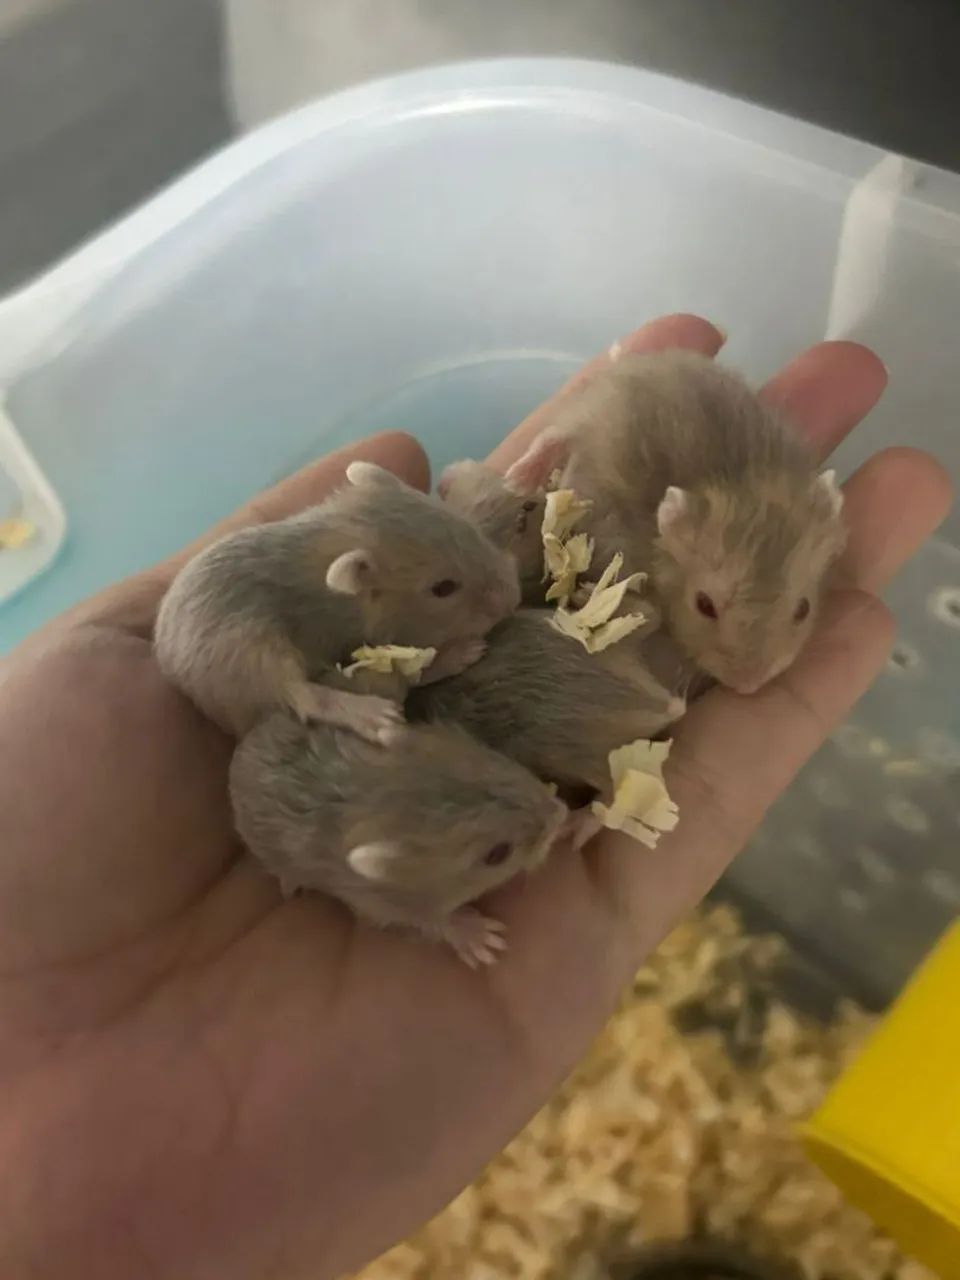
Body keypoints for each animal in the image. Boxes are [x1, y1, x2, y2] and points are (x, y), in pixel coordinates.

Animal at [155, 462, 521, 742]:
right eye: (443, 588)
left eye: (466, 526)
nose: (514, 597)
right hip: (252, 655)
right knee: (304, 696)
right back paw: (383, 715)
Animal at [229, 713, 569, 966]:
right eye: (498, 854)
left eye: (493, 758)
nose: (560, 813)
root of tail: (240, 751)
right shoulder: (385, 908)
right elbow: (438, 923)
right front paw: (483, 939)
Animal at [505, 351, 847, 694]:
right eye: (703, 605)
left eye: (804, 609)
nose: (748, 686)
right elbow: (650, 613)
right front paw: (584, 594)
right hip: (591, 416)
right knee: (555, 435)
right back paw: (518, 479)